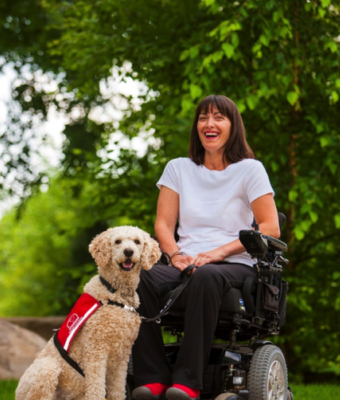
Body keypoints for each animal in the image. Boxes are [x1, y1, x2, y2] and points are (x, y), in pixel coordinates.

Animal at [16, 227, 163, 398]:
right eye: (117, 241)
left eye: (137, 241)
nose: (128, 251)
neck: (115, 293)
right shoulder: (95, 352)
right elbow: (96, 389)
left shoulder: (122, 357)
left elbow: (118, 391)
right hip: (46, 369)